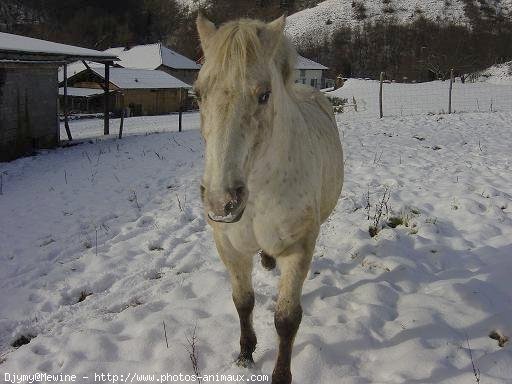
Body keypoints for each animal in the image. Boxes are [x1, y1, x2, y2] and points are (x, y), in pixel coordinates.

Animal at [196, 14, 344, 384]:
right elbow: (243, 302)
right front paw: (245, 354)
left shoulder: (298, 249)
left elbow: (287, 319)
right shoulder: (230, 249)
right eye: (197, 93)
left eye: (264, 95)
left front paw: (280, 374)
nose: (221, 202)